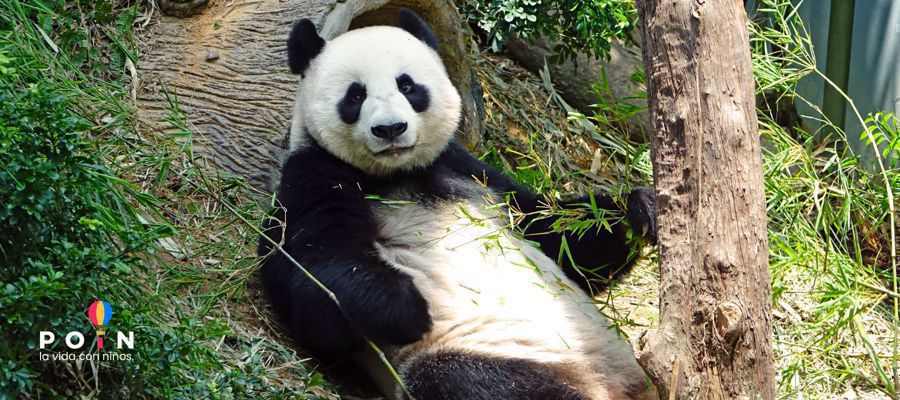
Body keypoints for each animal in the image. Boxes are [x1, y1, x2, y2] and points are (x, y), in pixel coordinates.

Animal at [256, 9, 656, 400]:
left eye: (407, 86)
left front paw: (641, 207)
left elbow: (558, 236)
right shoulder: (314, 172)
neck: (396, 173)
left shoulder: (471, 171)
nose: (390, 129)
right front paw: (407, 308)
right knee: (473, 379)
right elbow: (311, 272)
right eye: (355, 96)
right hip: (496, 351)